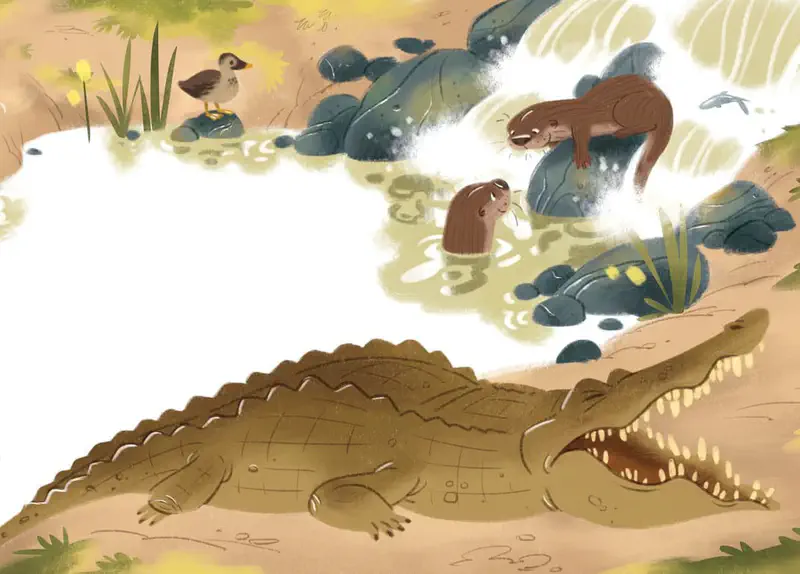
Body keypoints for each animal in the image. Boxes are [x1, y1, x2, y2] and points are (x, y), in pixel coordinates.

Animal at [506, 74, 673, 193]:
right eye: (511, 130)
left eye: (534, 131)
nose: (517, 140)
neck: (568, 114)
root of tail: (664, 102)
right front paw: (552, 144)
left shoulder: (581, 123)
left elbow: (582, 139)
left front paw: (581, 159)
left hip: (625, 107)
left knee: (649, 124)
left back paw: (623, 132)